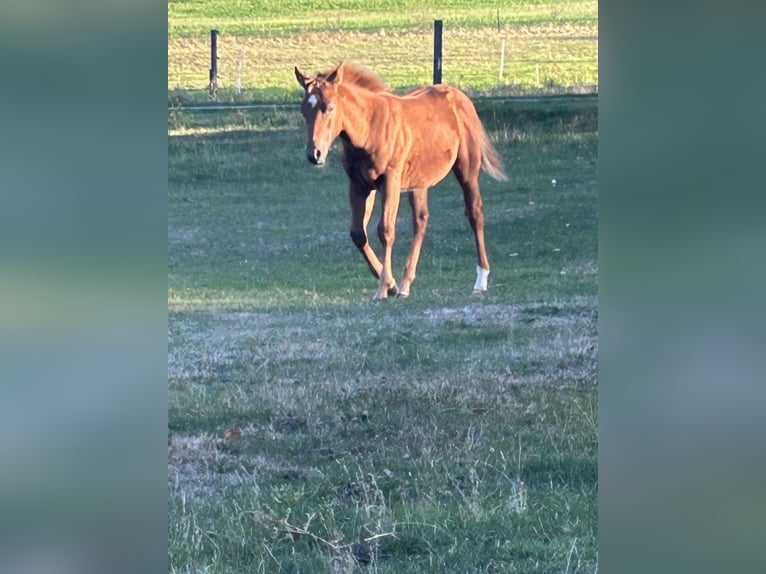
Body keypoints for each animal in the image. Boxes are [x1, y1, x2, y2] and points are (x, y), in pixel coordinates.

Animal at [294, 63, 507, 300]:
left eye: (330, 108)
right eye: (304, 111)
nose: (314, 154)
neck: (370, 128)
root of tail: (460, 98)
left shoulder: (390, 181)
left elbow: (385, 230)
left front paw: (383, 288)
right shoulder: (359, 185)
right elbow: (358, 233)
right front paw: (391, 284)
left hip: (467, 171)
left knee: (475, 212)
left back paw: (481, 279)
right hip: (419, 182)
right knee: (421, 220)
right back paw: (405, 285)